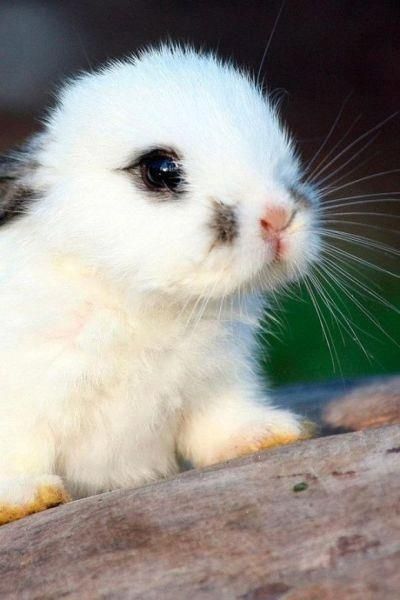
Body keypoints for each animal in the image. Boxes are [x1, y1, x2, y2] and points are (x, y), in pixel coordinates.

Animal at [0, 48, 318, 524]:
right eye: (160, 170)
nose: (278, 217)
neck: (135, 300)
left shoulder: (216, 383)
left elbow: (218, 426)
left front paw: (272, 432)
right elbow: (20, 454)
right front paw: (26, 498)